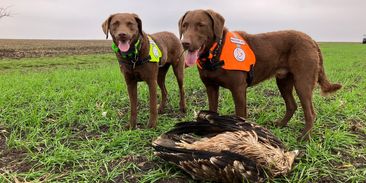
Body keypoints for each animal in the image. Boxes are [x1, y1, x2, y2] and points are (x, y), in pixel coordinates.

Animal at [179, 9, 342, 139]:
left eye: (201, 25)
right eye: (184, 25)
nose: (184, 43)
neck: (216, 52)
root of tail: (311, 40)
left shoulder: (238, 89)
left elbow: (240, 115)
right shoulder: (211, 87)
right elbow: (212, 111)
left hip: (303, 82)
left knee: (310, 113)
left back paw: (304, 137)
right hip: (283, 81)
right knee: (292, 105)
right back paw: (280, 124)